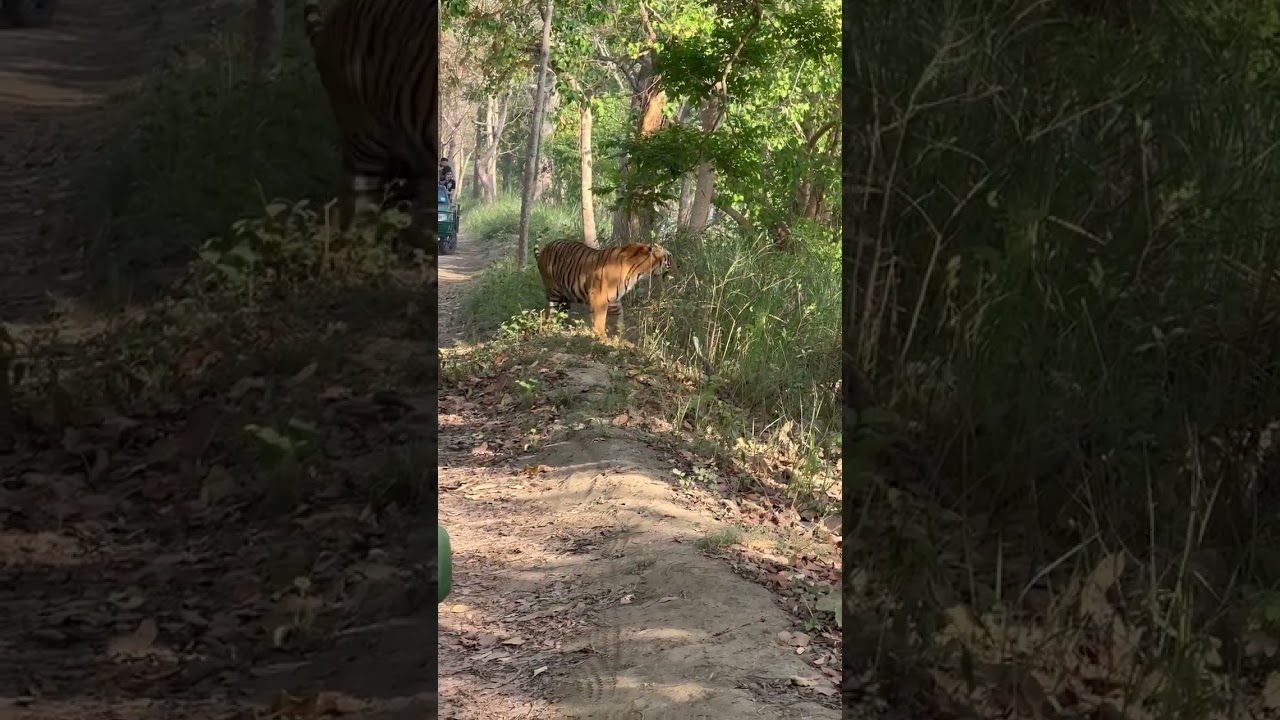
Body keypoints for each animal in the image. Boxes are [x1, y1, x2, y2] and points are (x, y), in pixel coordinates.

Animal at [534, 240, 674, 340]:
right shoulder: (599, 298)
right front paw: (602, 339)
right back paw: (552, 325)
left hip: (566, 295)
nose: (674, 262)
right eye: (668, 255)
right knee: (551, 310)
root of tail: (546, 246)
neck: (639, 271)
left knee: (563, 311)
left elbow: (618, 320)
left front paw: (619, 338)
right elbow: (600, 320)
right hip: (553, 290)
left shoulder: (614, 300)